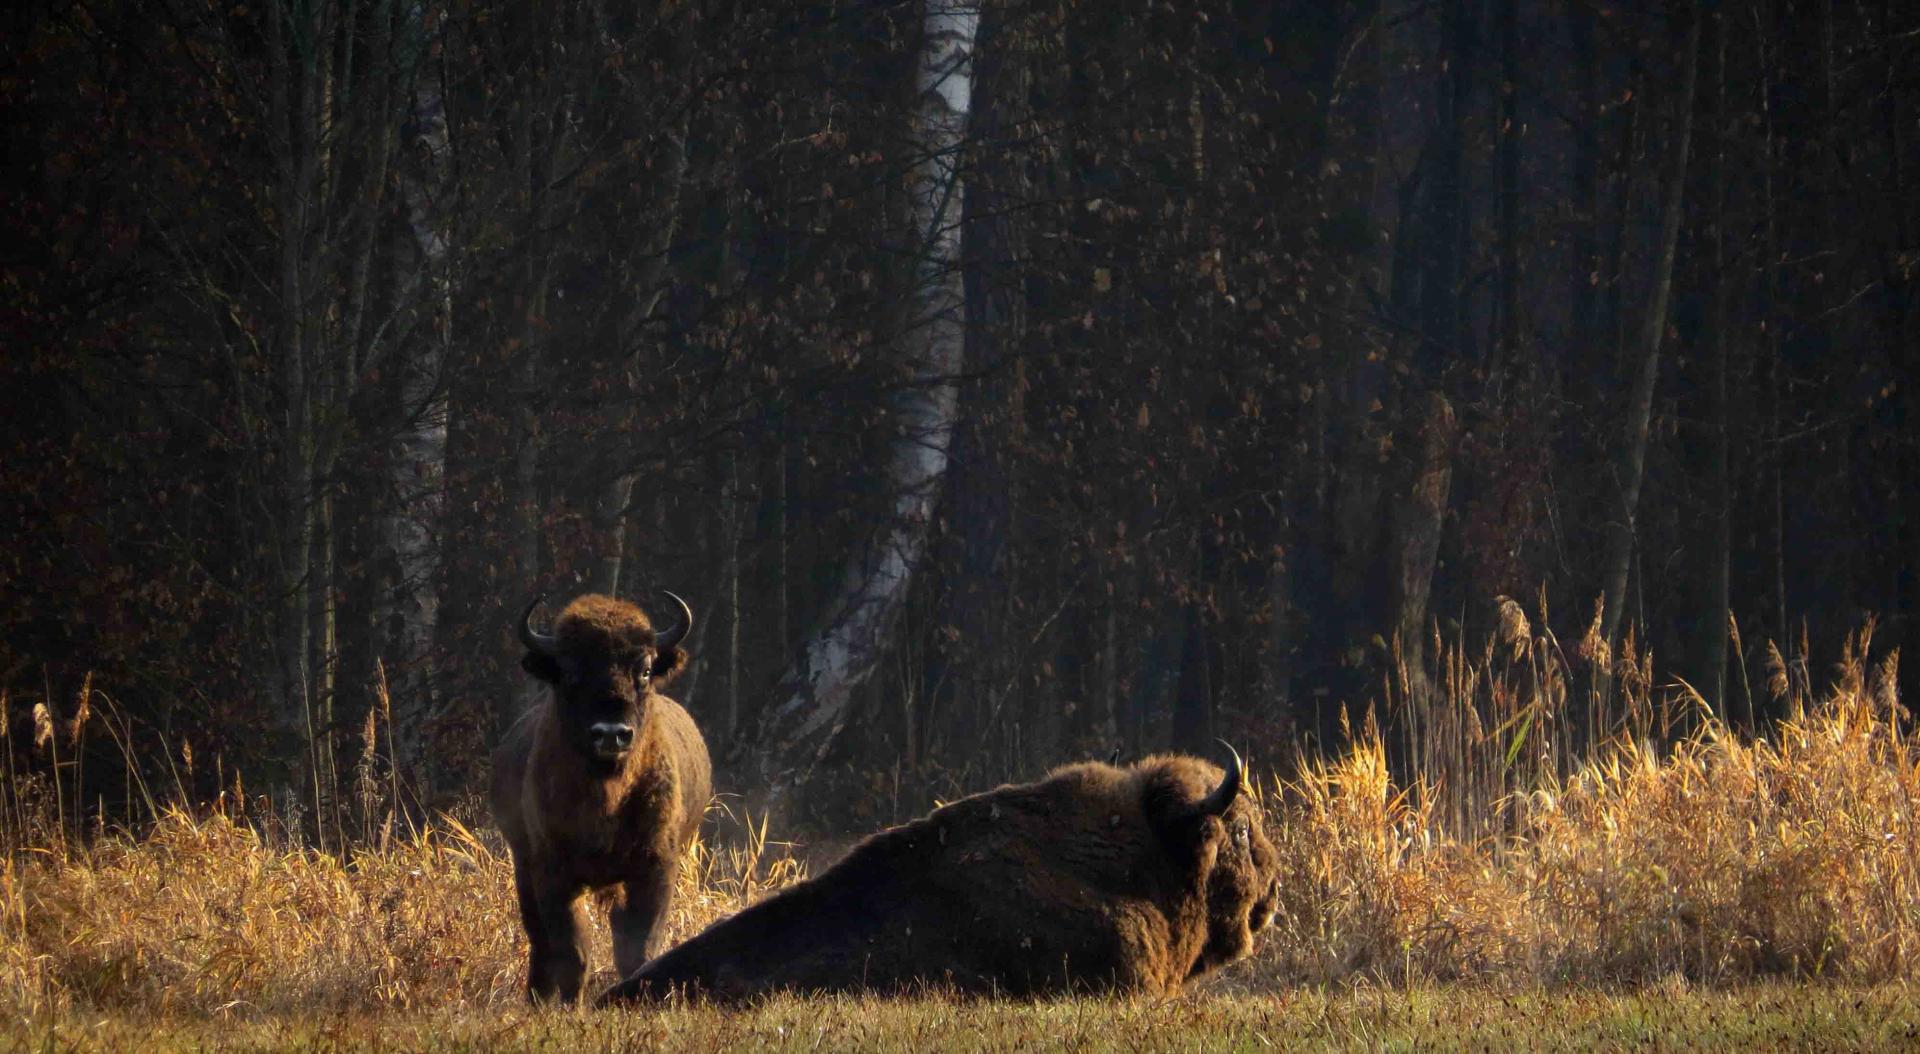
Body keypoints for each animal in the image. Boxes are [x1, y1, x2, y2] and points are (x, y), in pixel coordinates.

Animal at [487, 591, 714, 1006]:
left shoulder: (654, 868)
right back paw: (537, 999)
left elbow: (638, 947)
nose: (611, 733)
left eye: (644, 670)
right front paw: (570, 1006)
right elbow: (572, 951)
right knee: (540, 942)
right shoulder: (552, 873)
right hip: (523, 866)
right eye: (569, 670)